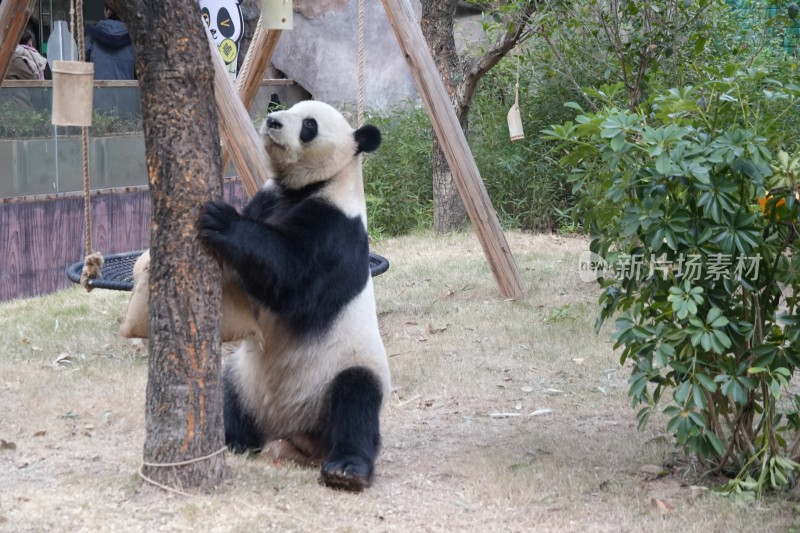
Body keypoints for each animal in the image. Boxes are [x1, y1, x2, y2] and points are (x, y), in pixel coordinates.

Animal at [197, 100, 390, 490]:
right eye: (283, 106)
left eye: (309, 125)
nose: (272, 121)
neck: (304, 188)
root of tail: (292, 436)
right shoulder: (267, 200)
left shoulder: (337, 228)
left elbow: (292, 276)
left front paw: (221, 220)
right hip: (245, 377)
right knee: (228, 394)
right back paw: (232, 438)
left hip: (343, 368)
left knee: (356, 401)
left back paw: (346, 469)